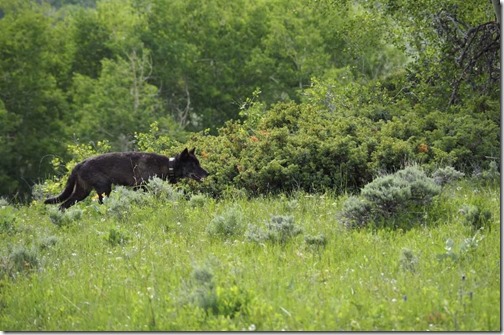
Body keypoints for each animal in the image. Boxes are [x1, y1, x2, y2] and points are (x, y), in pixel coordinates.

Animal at [44, 148, 208, 210]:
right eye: (194, 165)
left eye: (198, 163)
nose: (207, 174)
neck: (168, 165)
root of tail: (80, 164)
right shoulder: (140, 187)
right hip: (103, 189)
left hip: (82, 192)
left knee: (63, 205)